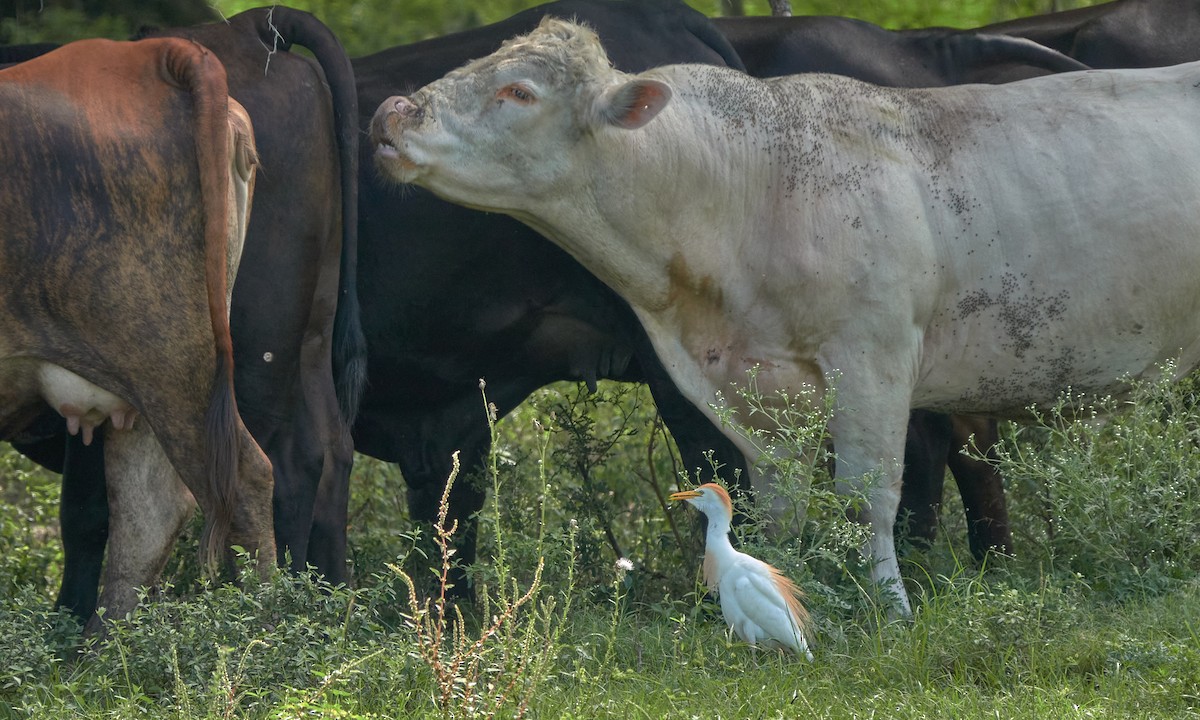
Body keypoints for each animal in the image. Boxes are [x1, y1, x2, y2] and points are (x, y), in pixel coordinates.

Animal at [372, 15, 1200, 612]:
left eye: (518, 92)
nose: (391, 109)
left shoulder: (874, 354)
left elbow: (869, 494)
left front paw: (888, 608)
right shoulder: (740, 383)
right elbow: (776, 505)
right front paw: (786, 590)